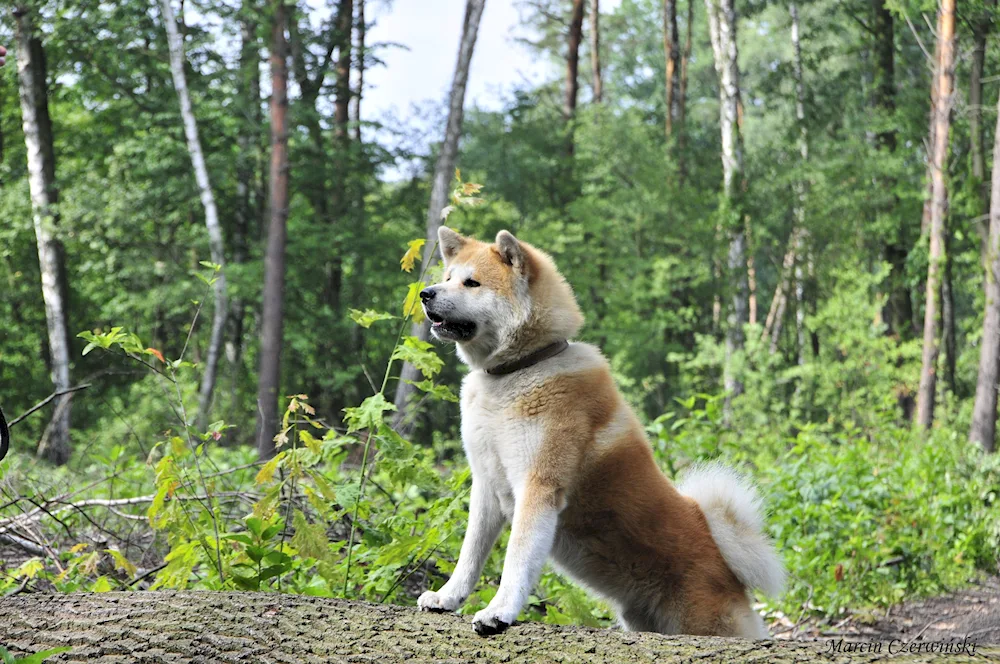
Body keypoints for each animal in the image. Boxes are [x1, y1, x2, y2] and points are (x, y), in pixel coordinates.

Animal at [414, 228, 780, 640]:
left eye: (471, 283)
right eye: (447, 277)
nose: (426, 293)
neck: (519, 371)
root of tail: (728, 567)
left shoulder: (539, 487)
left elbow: (516, 562)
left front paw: (499, 611)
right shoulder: (487, 487)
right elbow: (470, 556)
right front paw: (447, 598)